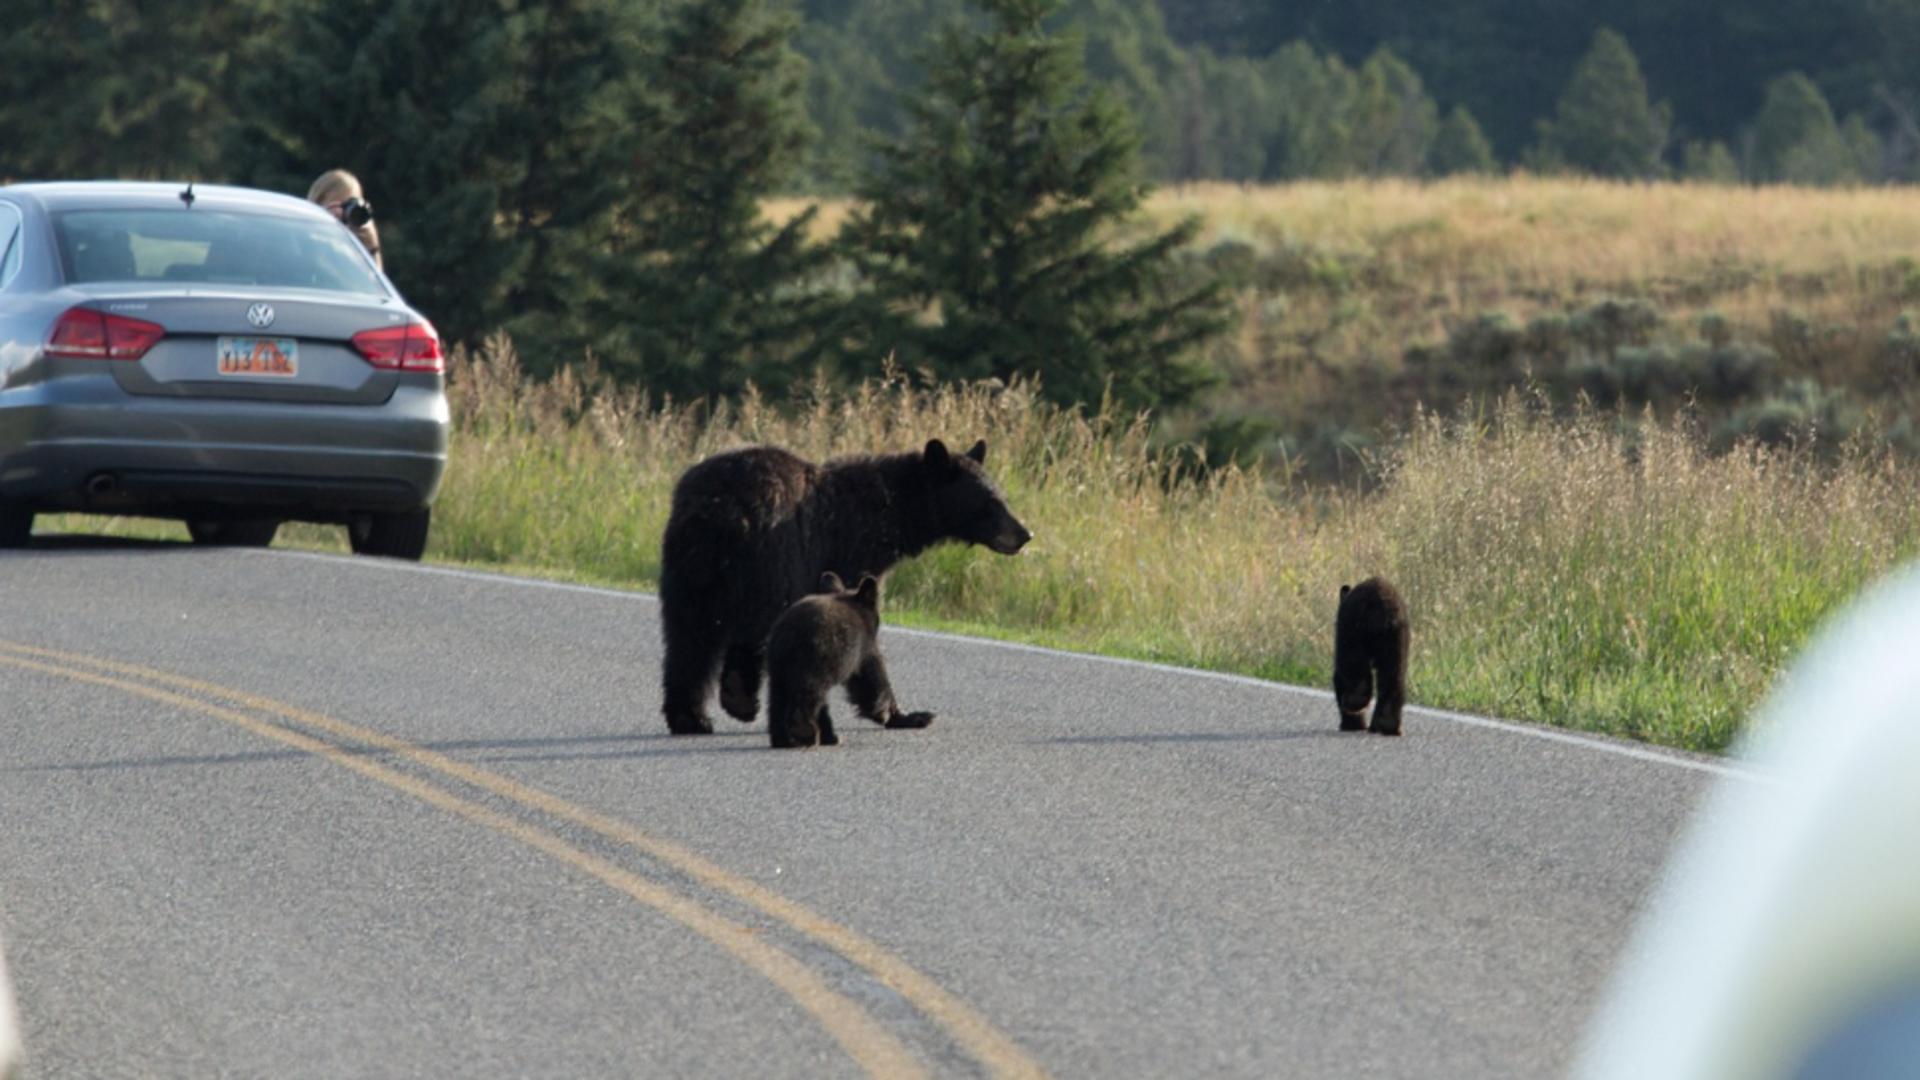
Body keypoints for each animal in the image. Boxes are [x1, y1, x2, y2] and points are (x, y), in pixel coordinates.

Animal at [756, 576, 929, 745]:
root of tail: (787, 634)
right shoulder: (862, 647)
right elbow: (870, 679)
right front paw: (889, 714)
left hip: (779, 665)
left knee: (778, 696)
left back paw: (783, 738)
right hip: (815, 660)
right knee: (809, 693)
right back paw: (806, 732)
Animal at [1336, 576, 1413, 734]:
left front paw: (1351, 724)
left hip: (1354, 632)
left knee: (1354, 667)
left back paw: (1354, 702)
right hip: (1396, 640)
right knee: (1393, 676)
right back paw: (1388, 724)